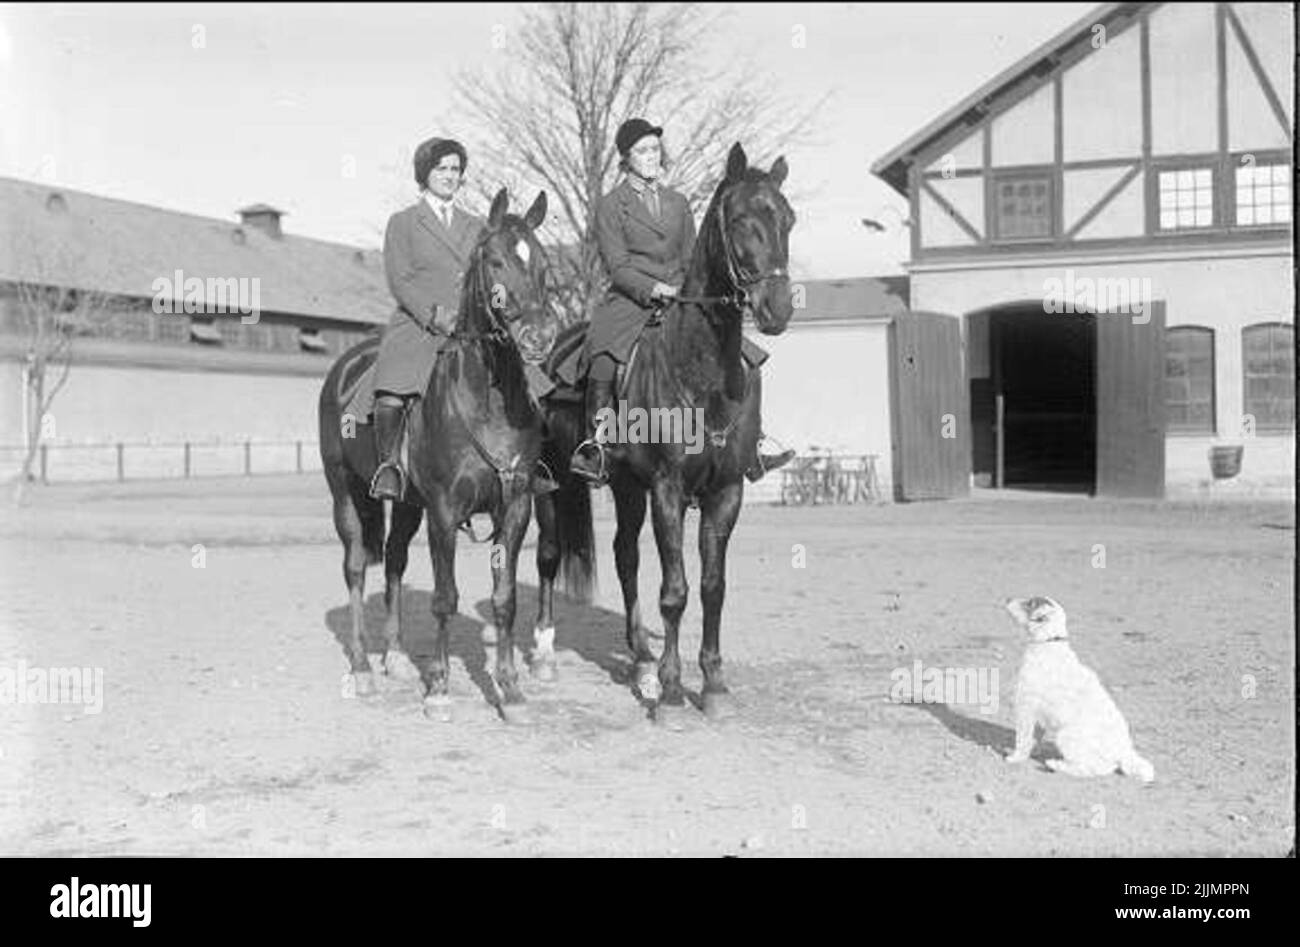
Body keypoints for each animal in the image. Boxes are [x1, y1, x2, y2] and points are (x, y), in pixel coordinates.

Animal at [317, 188, 587, 723]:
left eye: (544, 262)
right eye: (495, 260)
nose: (540, 337)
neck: (489, 397)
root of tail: (346, 365)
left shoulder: (515, 508)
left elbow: (504, 599)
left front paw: (510, 689)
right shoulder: (444, 511)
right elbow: (445, 598)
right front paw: (439, 688)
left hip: (405, 503)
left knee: (394, 562)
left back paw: (396, 658)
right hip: (346, 494)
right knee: (356, 568)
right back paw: (362, 667)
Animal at [535, 142, 795, 718]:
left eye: (788, 219)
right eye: (741, 220)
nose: (779, 308)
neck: (700, 369)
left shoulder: (725, 491)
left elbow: (713, 586)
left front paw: (713, 684)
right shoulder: (668, 489)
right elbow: (674, 590)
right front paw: (675, 689)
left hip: (629, 488)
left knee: (625, 557)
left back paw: (639, 661)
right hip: (555, 485)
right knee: (558, 556)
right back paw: (547, 653)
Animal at [998, 595, 1154, 780]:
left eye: (1029, 604)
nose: (1007, 599)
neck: (1049, 643)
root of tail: (1125, 752)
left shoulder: (1026, 706)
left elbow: (1023, 737)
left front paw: (1016, 757)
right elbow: (1035, 737)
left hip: (1065, 737)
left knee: (1095, 768)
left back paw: (1056, 765)